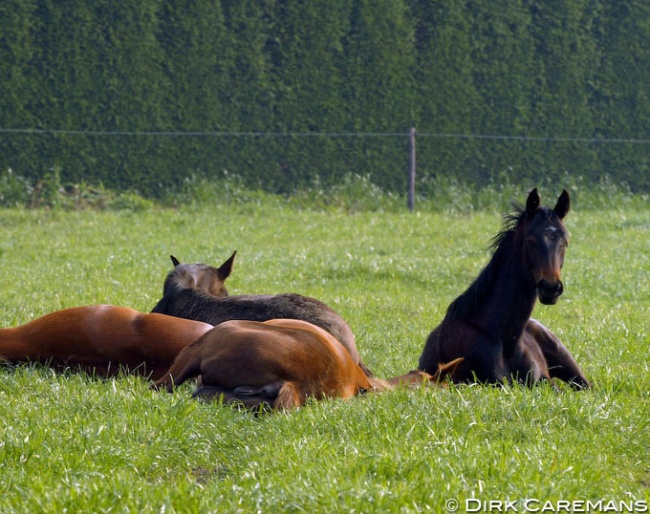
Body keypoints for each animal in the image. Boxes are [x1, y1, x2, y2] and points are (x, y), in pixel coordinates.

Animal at [418, 186, 588, 386]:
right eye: (531, 240)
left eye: (565, 241)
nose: (550, 288)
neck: (506, 339)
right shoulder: (494, 383)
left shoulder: (542, 380)